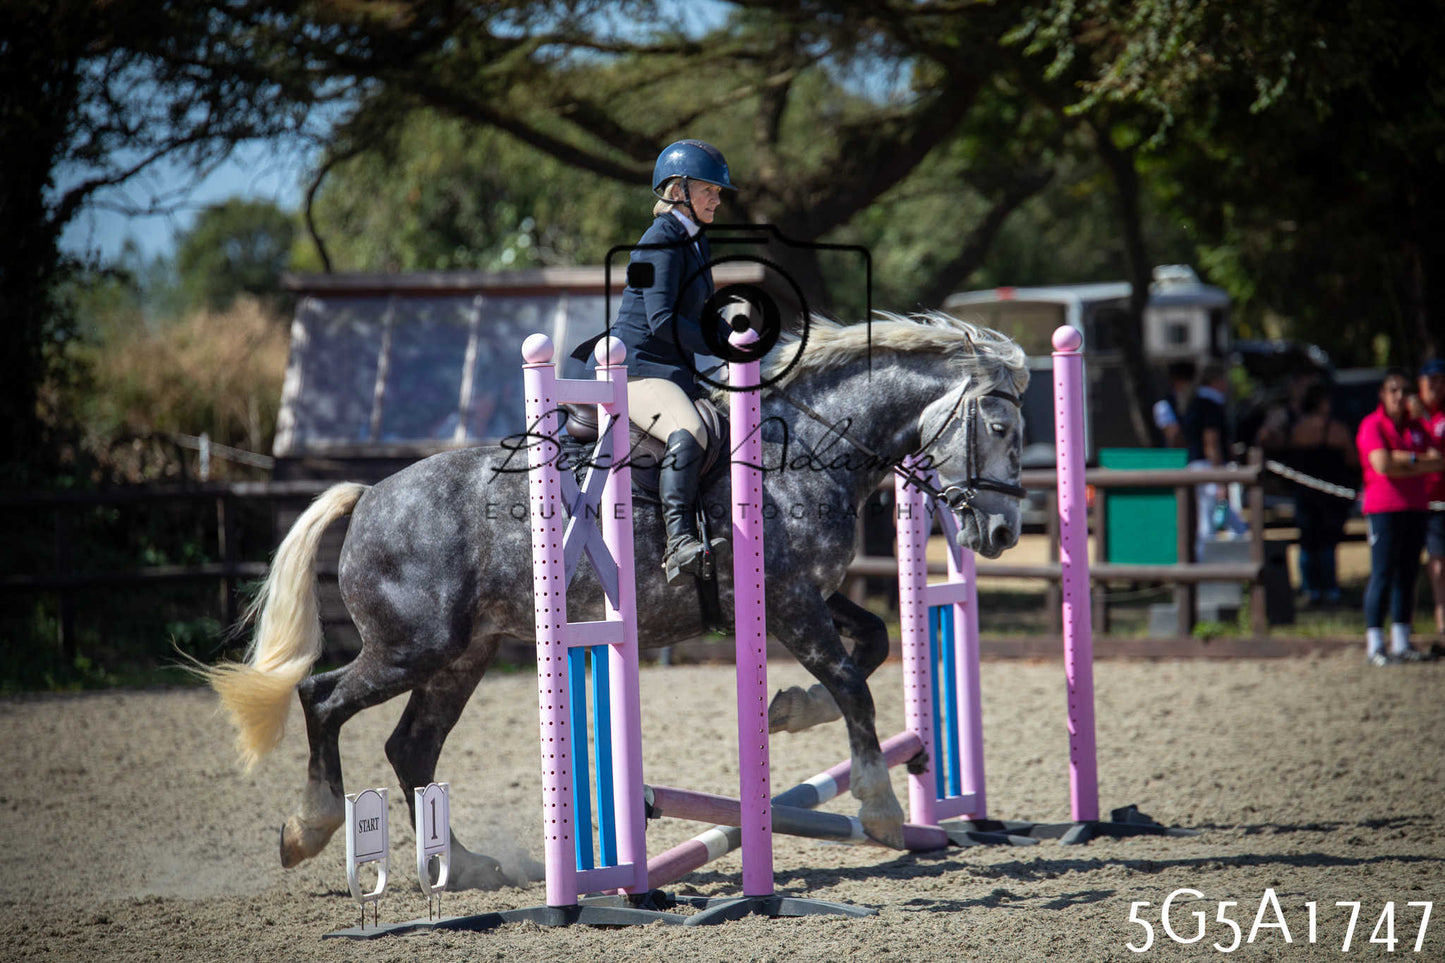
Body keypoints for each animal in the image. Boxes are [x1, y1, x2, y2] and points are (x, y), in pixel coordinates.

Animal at [203, 310, 1029, 889]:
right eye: (997, 425)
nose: (1002, 531)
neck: (803, 447)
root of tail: (370, 493)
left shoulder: (804, 598)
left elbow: (875, 645)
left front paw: (788, 709)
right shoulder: (793, 600)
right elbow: (853, 681)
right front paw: (881, 807)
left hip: (464, 653)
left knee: (411, 746)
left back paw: (462, 867)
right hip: (413, 646)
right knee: (321, 699)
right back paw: (308, 829)